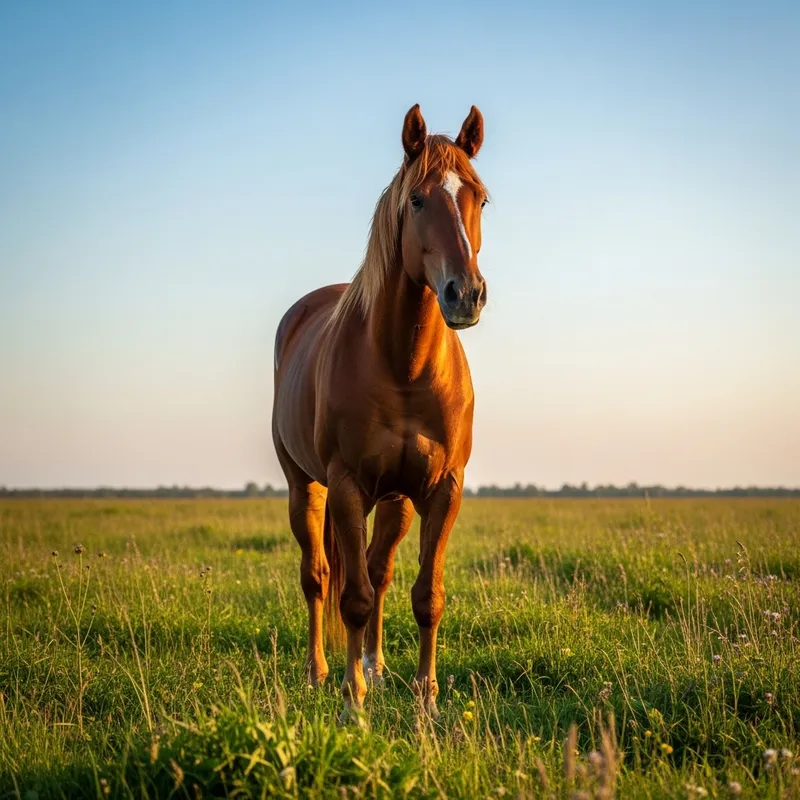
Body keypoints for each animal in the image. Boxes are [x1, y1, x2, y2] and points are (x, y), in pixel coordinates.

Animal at [271, 103, 489, 720]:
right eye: (416, 200)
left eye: (481, 198)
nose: (466, 294)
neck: (405, 368)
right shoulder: (346, 486)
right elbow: (353, 599)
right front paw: (353, 703)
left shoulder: (442, 490)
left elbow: (426, 595)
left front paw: (427, 700)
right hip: (305, 487)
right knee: (319, 576)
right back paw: (321, 672)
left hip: (396, 501)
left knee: (378, 569)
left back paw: (376, 665)